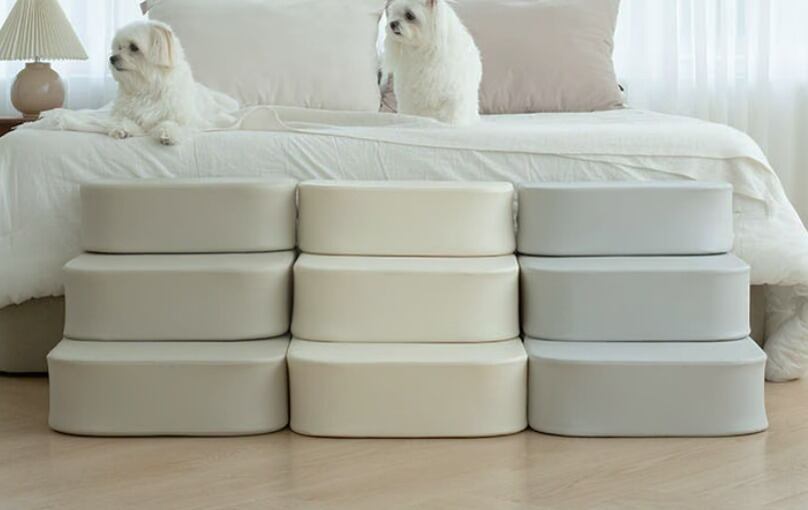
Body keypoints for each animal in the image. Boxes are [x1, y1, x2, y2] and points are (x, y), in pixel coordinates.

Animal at [108, 20, 239, 145]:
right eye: (119, 47)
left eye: (134, 47)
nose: (112, 58)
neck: (147, 86)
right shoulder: (124, 113)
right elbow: (122, 120)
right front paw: (121, 128)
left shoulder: (185, 119)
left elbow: (171, 123)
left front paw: (168, 133)